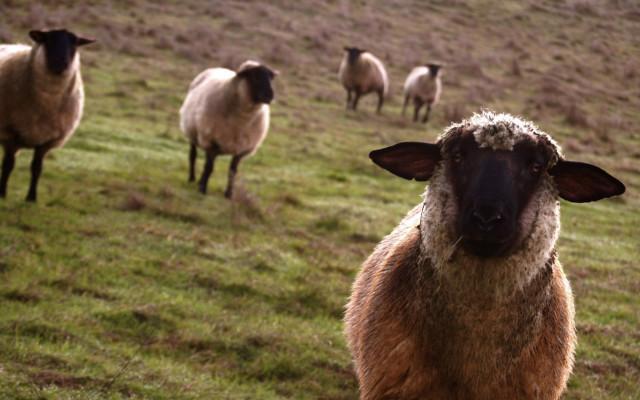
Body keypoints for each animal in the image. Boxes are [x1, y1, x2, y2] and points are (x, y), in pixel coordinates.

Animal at [0, 29, 94, 202]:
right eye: (48, 40)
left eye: (74, 43)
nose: (61, 62)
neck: (47, 102)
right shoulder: (11, 133)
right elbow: (8, 165)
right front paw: (2, 194)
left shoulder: (47, 140)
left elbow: (37, 168)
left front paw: (31, 198)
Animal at [179, 60, 278, 199]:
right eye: (254, 76)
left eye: (271, 77)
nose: (270, 96)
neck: (241, 120)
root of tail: (217, 68)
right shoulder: (211, 141)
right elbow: (209, 167)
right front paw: (203, 189)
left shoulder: (241, 148)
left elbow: (232, 171)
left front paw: (229, 194)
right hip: (192, 132)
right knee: (193, 156)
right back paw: (192, 178)